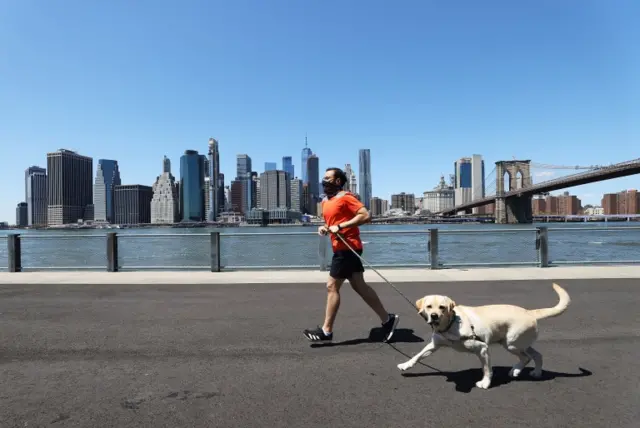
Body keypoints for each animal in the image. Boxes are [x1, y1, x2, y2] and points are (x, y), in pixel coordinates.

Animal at [400, 282, 568, 390]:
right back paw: (533, 372)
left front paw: (485, 383)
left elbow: (487, 370)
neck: (451, 324)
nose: (434, 316)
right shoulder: (434, 345)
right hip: (516, 343)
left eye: (442, 307)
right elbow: (418, 356)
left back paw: (519, 370)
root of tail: (529, 312)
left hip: (512, 343)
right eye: (429, 306)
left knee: (527, 357)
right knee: (535, 355)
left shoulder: (482, 348)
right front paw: (405, 364)